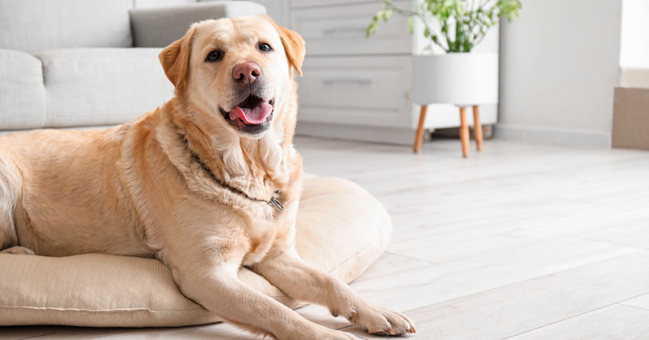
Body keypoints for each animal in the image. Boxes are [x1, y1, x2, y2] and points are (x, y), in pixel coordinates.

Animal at [0, 15, 416, 338]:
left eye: (265, 47)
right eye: (214, 55)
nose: (247, 71)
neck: (249, 169)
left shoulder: (278, 256)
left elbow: (331, 282)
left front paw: (376, 311)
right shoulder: (207, 274)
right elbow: (275, 310)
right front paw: (329, 336)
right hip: (7, 182)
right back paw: (22, 251)